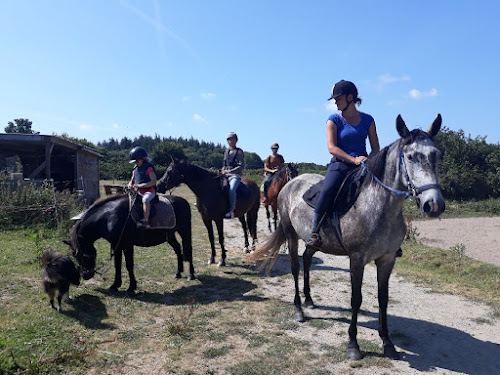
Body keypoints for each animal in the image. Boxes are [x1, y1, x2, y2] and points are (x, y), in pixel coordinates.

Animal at [67, 194, 196, 294]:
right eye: (75, 256)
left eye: (82, 255)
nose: (85, 275)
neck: (109, 217)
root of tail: (184, 201)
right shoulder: (116, 245)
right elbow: (117, 264)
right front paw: (115, 285)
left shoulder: (127, 245)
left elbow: (129, 265)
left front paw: (131, 287)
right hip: (170, 235)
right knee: (178, 249)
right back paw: (178, 273)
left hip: (185, 230)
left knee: (188, 249)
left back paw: (191, 275)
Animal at [248, 114, 448, 362]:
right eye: (410, 157)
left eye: (436, 154)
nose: (434, 205)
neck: (378, 206)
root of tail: (290, 184)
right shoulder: (357, 259)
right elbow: (356, 298)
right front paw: (353, 345)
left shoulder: (387, 259)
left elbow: (383, 298)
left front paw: (388, 343)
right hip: (291, 234)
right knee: (295, 267)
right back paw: (299, 310)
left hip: (315, 242)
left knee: (307, 258)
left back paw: (309, 300)